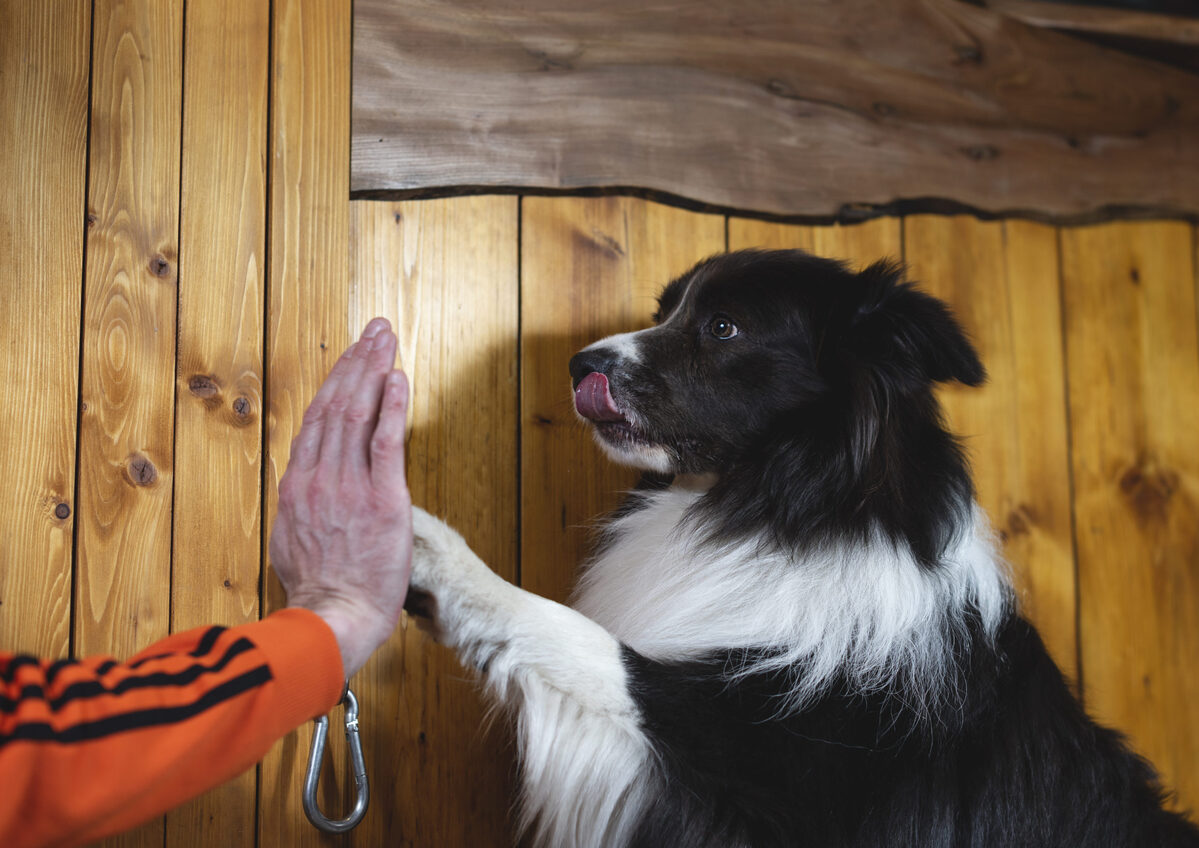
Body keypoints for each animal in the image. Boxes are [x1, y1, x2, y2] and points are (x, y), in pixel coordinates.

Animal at [405, 248, 1199, 844]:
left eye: (723, 327)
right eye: (664, 312)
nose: (579, 364)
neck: (787, 507)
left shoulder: (772, 764)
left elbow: (580, 641)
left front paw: (435, 555)